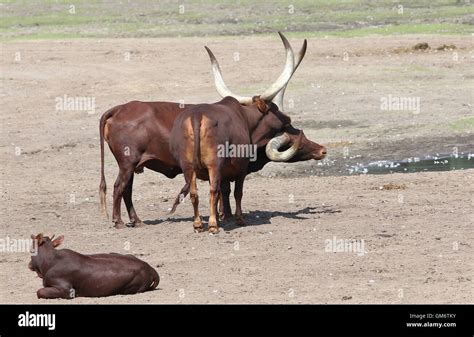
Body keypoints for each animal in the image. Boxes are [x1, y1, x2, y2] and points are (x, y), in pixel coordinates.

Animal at [28, 232, 159, 298]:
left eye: (31, 249)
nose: (29, 265)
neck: (49, 262)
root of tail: (150, 268)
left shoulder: (66, 289)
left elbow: (39, 292)